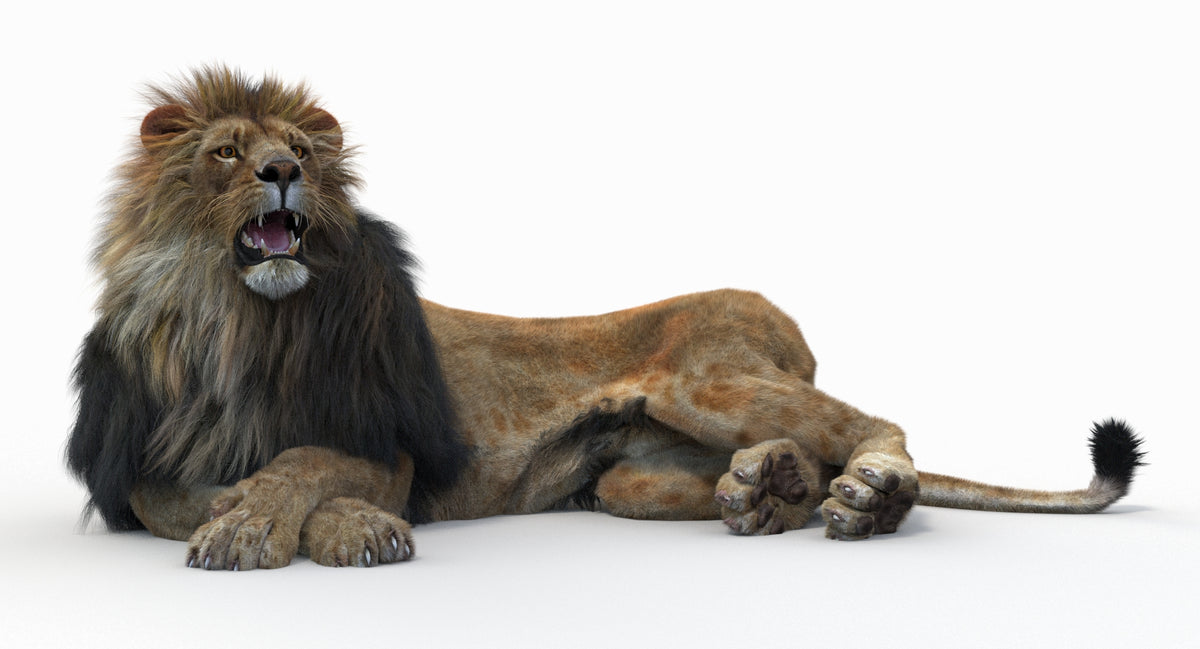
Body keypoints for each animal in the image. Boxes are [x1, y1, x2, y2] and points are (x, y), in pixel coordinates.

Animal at [68, 67, 1145, 570]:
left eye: (296, 145)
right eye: (225, 152)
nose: (283, 170)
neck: (226, 324)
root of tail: (788, 326)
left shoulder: (389, 440)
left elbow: (303, 463)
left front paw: (313, 526)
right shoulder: (142, 462)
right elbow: (175, 497)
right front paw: (258, 518)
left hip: (706, 378)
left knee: (880, 425)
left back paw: (867, 494)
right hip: (625, 476)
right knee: (773, 465)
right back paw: (769, 490)